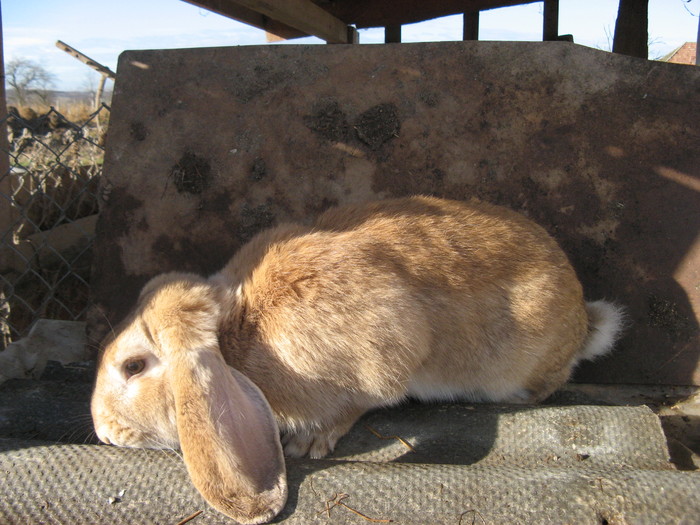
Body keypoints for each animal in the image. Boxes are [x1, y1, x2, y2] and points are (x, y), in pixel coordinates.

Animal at [91, 195, 624, 524]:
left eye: (133, 367)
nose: (103, 432)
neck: (235, 330)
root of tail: (583, 319)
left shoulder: (387, 349)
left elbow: (368, 396)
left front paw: (310, 442)